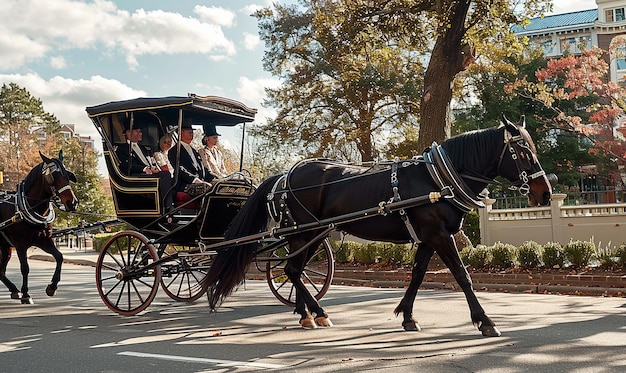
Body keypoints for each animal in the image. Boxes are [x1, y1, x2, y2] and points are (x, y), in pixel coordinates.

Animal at [0, 150, 78, 302]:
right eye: (53, 176)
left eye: (68, 175)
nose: (72, 203)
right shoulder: (20, 245)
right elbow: (25, 268)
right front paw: (25, 294)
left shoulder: (44, 240)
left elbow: (59, 257)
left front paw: (52, 286)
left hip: (5, 247)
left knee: (0, 271)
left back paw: (13, 289)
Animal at [204, 115, 544, 336]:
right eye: (523, 152)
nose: (544, 192)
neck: (438, 178)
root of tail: (284, 176)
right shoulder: (439, 236)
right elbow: (462, 276)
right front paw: (485, 321)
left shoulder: (427, 238)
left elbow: (417, 275)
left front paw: (407, 316)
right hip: (306, 232)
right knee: (291, 270)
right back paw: (319, 313)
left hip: (309, 235)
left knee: (294, 271)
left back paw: (306, 314)